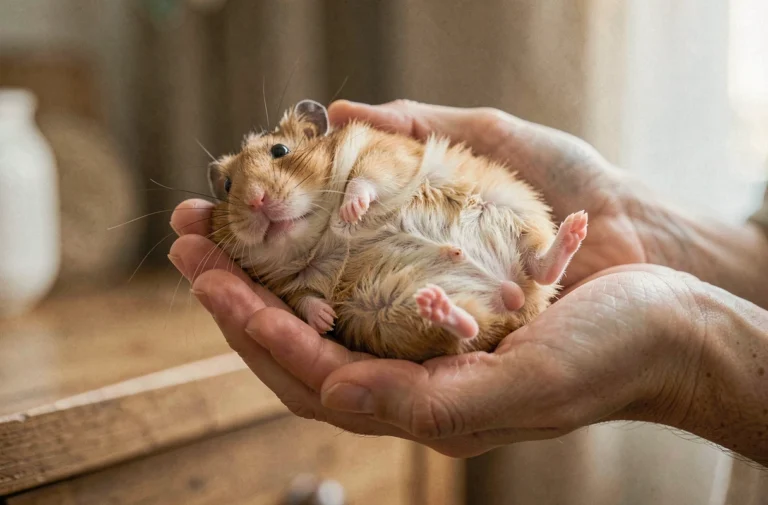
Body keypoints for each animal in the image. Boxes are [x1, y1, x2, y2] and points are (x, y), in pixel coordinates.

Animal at [206, 99, 588, 362]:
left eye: (280, 150)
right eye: (227, 186)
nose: (256, 200)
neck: (316, 233)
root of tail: (515, 297)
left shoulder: (384, 153)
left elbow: (363, 179)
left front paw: (351, 212)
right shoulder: (289, 284)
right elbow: (305, 300)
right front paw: (326, 320)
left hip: (516, 203)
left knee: (541, 264)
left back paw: (575, 226)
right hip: (388, 313)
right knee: (468, 327)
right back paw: (438, 306)